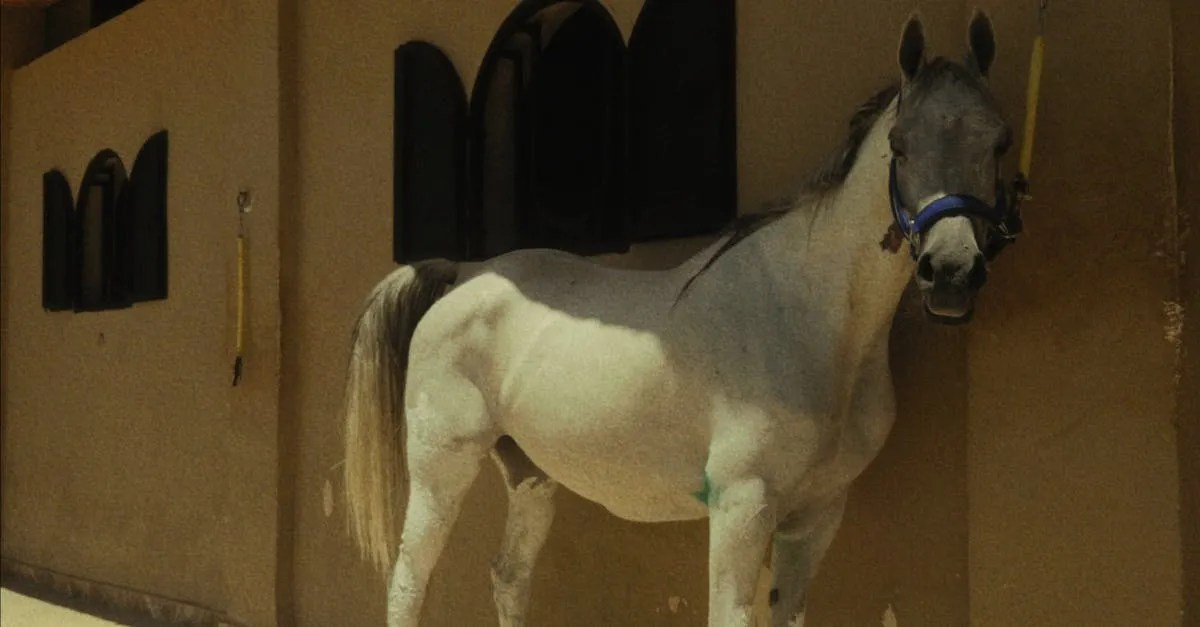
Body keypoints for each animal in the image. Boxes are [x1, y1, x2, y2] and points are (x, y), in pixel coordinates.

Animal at [342, 10, 1022, 627]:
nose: (951, 271)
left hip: (530, 475)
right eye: (899, 146)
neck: (808, 321)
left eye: (999, 141)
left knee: (508, 578)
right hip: (440, 466)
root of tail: (467, 273)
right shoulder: (742, 506)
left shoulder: (816, 516)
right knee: (409, 582)